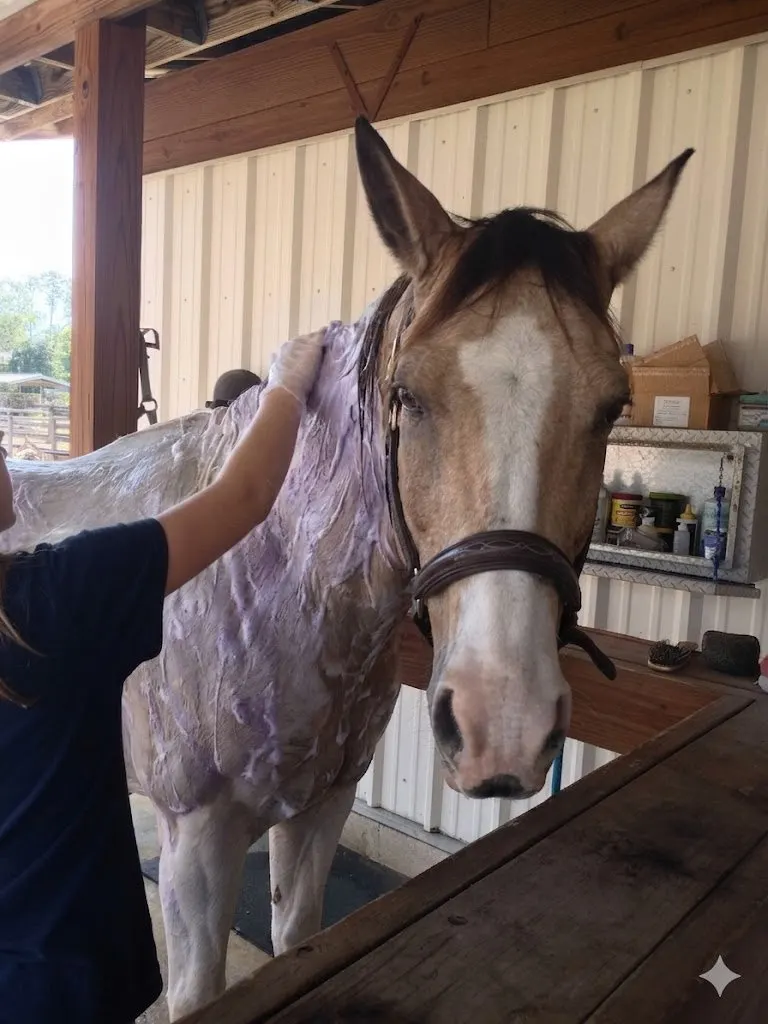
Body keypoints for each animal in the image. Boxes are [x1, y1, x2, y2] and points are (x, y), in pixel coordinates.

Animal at [1, 118, 691, 1019]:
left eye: (612, 406)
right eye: (410, 395)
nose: (500, 723)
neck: (274, 584)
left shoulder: (320, 812)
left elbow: (297, 940)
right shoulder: (197, 844)